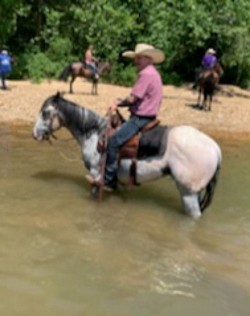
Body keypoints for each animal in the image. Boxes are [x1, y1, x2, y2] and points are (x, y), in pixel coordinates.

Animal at [32, 92, 222, 218]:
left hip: (188, 192)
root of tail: (216, 150)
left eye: (46, 113)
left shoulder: (95, 173)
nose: (35, 134)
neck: (94, 132)